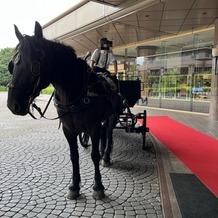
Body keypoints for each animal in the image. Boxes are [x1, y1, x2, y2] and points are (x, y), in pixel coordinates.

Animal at [7, 21, 122, 199]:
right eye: (12, 65)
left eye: (33, 65)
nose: (13, 104)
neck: (78, 92)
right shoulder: (68, 129)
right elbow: (74, 156)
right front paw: (74, 186)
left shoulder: (93, 127)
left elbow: (94, 156)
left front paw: (98, 186)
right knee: (104, 132)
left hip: (112, 116)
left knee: (108, 132)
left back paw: (106, 155)